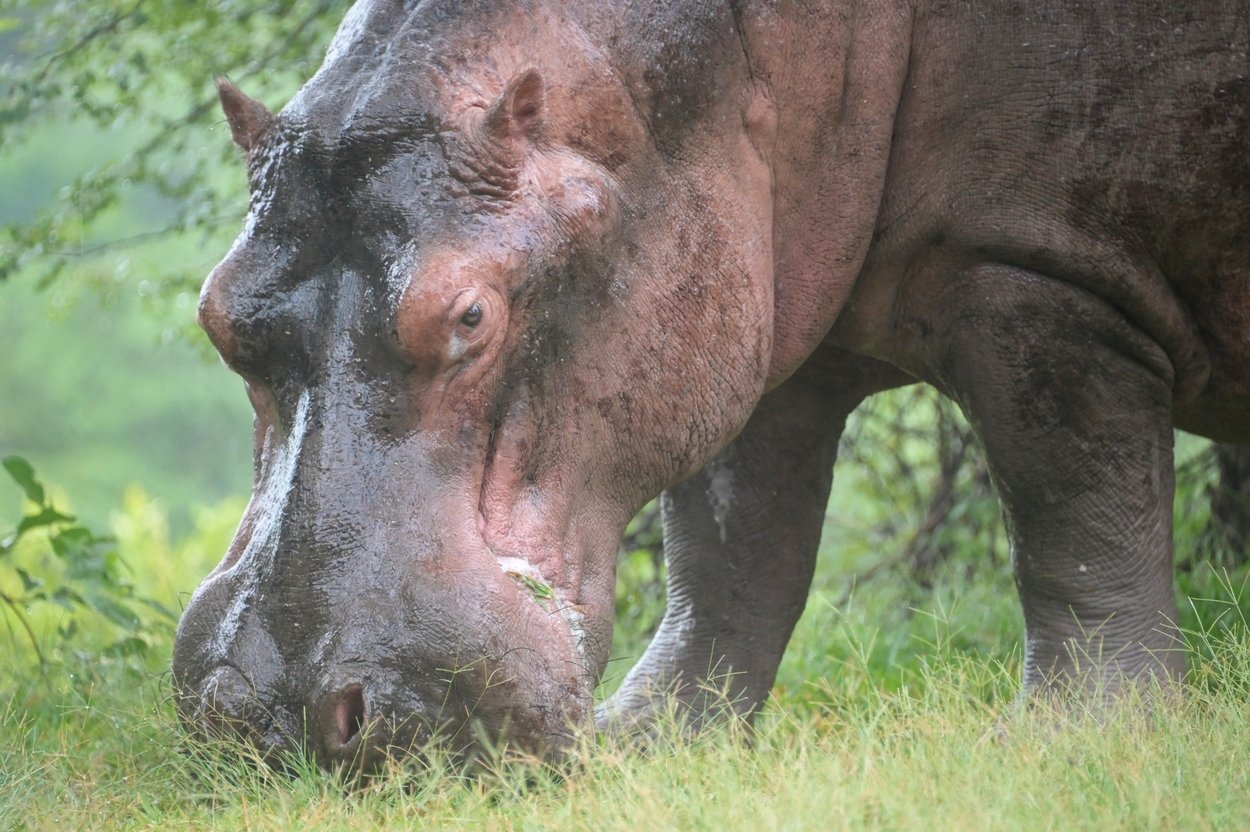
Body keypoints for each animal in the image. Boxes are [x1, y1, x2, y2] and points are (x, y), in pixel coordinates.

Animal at [173, 0, 1250, 769]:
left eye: (469, 316)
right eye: (216, 312)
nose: (277, 709)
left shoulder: (1034, 273)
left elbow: (1072, 520)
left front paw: (1073, 740)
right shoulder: (737, 323)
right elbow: (735, 554)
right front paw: (651, 744)